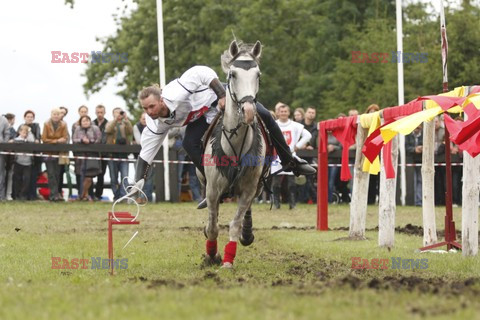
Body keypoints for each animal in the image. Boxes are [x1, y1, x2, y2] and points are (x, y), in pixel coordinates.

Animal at [202, 40, 268, 268]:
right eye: (233, 74)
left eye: (258, 75)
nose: (248, 110)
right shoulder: (212, 190)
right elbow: (213, 227)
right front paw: (211, 255)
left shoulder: (248, 190)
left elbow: (235, 224)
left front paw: (228, 260)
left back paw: (247, 234)